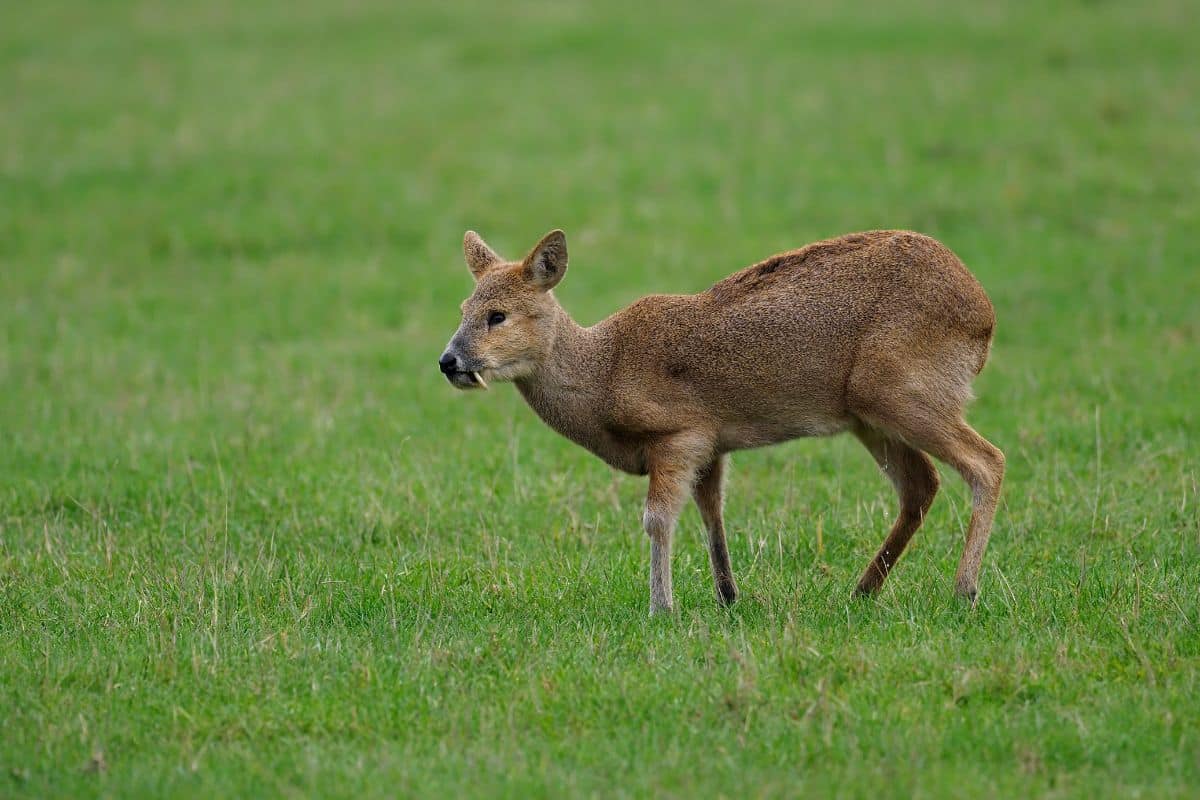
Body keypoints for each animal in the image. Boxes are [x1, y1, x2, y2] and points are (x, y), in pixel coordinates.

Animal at [438, 228, 1004, 615]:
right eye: (463, 307)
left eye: (498, 315)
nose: (449, 361)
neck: (603, 374)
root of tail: (984, 315)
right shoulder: (713, 445)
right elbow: (712, 515)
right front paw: (729, 595)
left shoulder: (678, 434)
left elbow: (658, 519)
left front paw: (661, 607)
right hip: (871, 415)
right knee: (921, 485)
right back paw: (863, 589)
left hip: (901, 392)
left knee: (987, 462)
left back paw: (964, 590)